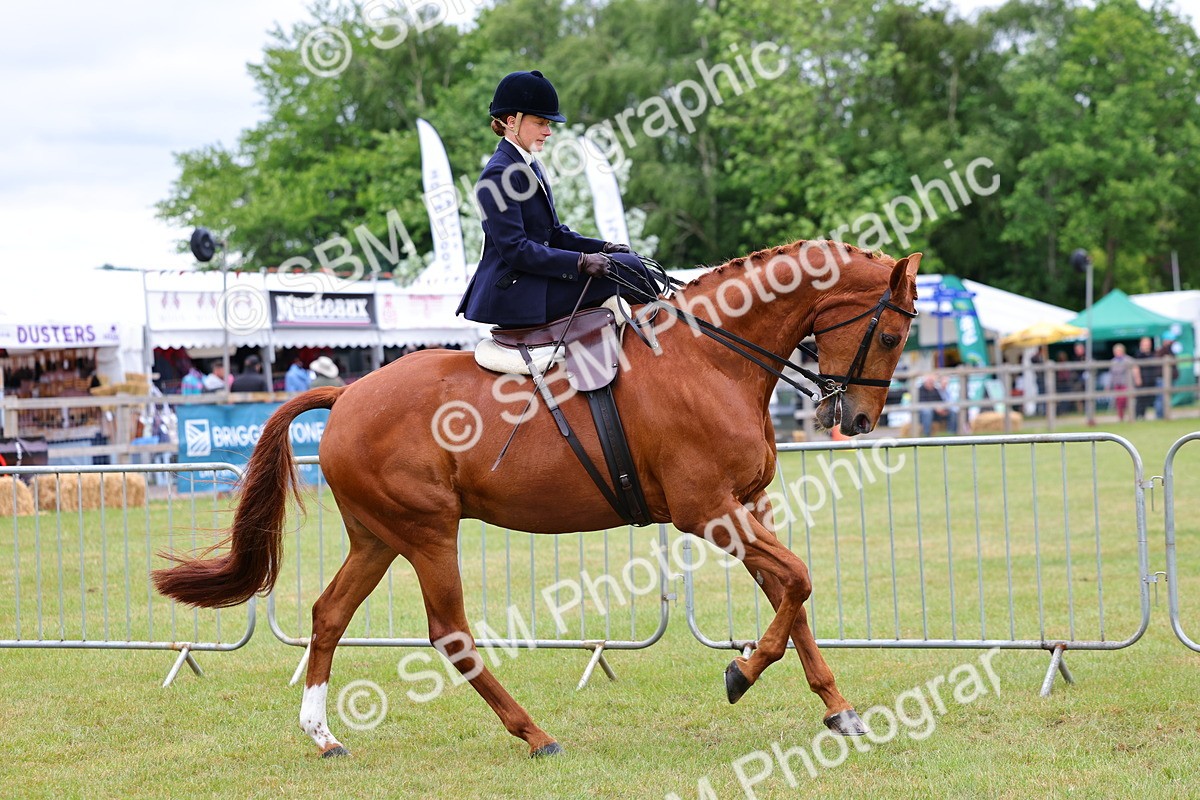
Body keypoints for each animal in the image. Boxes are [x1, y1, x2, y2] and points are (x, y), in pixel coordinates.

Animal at [153, 239, 921, 759]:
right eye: (889, 333)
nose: (857, 420)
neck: (713, 358)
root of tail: (346, 394)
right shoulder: (707, 510)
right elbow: (798, 580)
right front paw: (741, 672)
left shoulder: (747, 507)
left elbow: (790, 595)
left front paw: (838, 709)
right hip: (427, 532)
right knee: (449, 633)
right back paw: (534, 733)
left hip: (378, 536)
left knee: (329, 614)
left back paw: (323, 734)